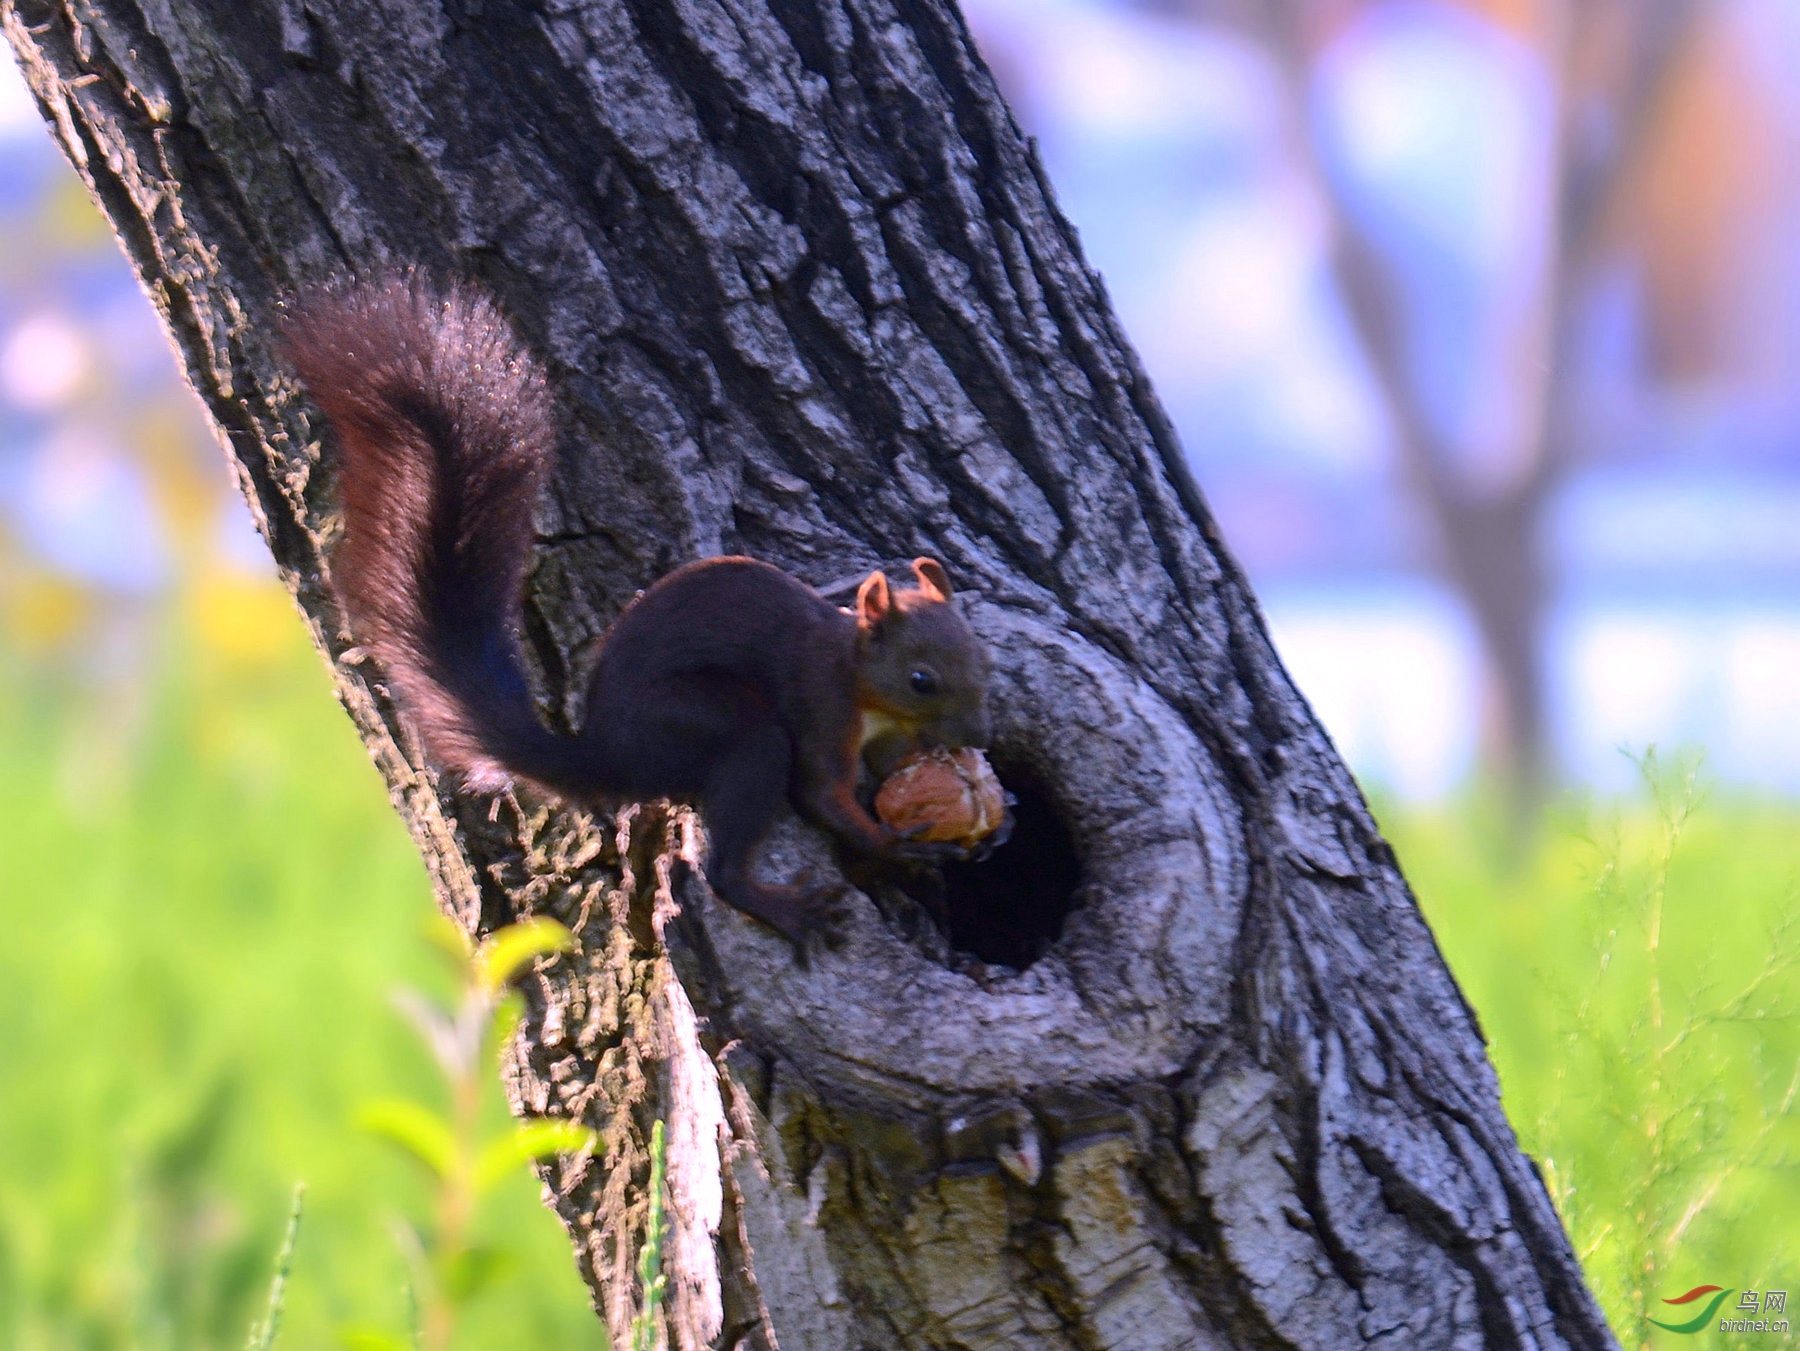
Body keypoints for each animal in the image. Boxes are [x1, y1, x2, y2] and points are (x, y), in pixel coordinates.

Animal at [286, 280, 993, 942]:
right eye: (921, 679)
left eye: (981, 660)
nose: (976, 735)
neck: (859, 677)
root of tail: (614, 752)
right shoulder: (821, 702)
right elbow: (823, 795)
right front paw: (893, 847)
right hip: (709, 724)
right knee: (727, 848)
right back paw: (784, 908)